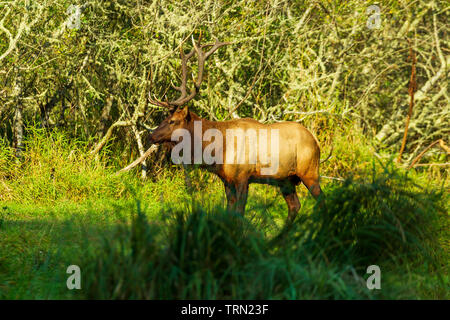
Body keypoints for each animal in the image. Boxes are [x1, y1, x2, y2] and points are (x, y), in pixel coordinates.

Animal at [149, 35, 324, 224]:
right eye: (164, 118)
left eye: (172, 121)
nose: (151, 136)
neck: (218, 153)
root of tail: (316, 141)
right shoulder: (227, 180)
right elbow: (230, 211)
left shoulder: (243, 176)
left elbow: (240, 212)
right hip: (286, 180)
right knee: (294, 205)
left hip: (309, 171)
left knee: (322, 200)